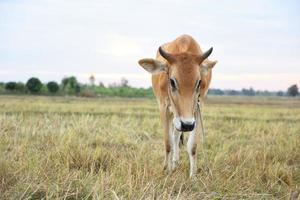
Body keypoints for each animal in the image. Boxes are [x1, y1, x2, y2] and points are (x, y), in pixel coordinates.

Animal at [137, 35, 217, 177]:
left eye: (199, 82)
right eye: (172, 81)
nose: (187, 125)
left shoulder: (197, 109)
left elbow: (192, 146)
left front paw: (193, 176)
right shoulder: (163, 108)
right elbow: (168, 143)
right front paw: (166, 170)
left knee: (176, 134)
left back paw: (175, 162)